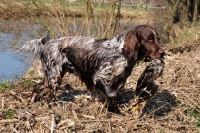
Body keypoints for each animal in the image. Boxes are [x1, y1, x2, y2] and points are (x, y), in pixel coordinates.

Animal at [22, 24, 166, 107]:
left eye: (158, 39)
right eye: (149, 39)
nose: (163, 53)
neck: (122, 52)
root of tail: (48, 40)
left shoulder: (119, 81)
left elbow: (110, 96)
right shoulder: (99, 77)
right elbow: (111, 94)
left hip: (50, 77)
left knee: (36, 87)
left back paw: (31, 101)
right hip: (55, 77)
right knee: (50, 98)